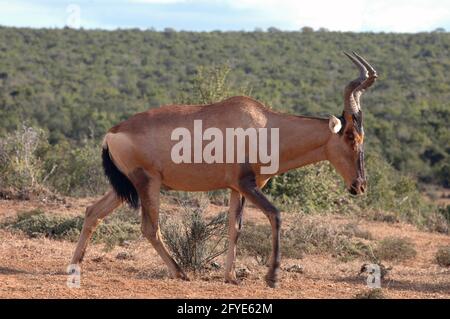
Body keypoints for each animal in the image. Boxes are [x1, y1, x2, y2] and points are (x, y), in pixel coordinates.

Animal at [70, 52, 376, 288]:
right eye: (351, 136)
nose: (359, 185)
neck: (263, 124)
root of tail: (112, 133)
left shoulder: (236, 188)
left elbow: (234, 228)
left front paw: (231, 277)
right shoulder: (247, 184)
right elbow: (275, 216)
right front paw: (272, 277)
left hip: (126, 186)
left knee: (93, 212)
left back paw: (74, 267)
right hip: (147, 183)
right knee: (149, 228)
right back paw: (180, 273)